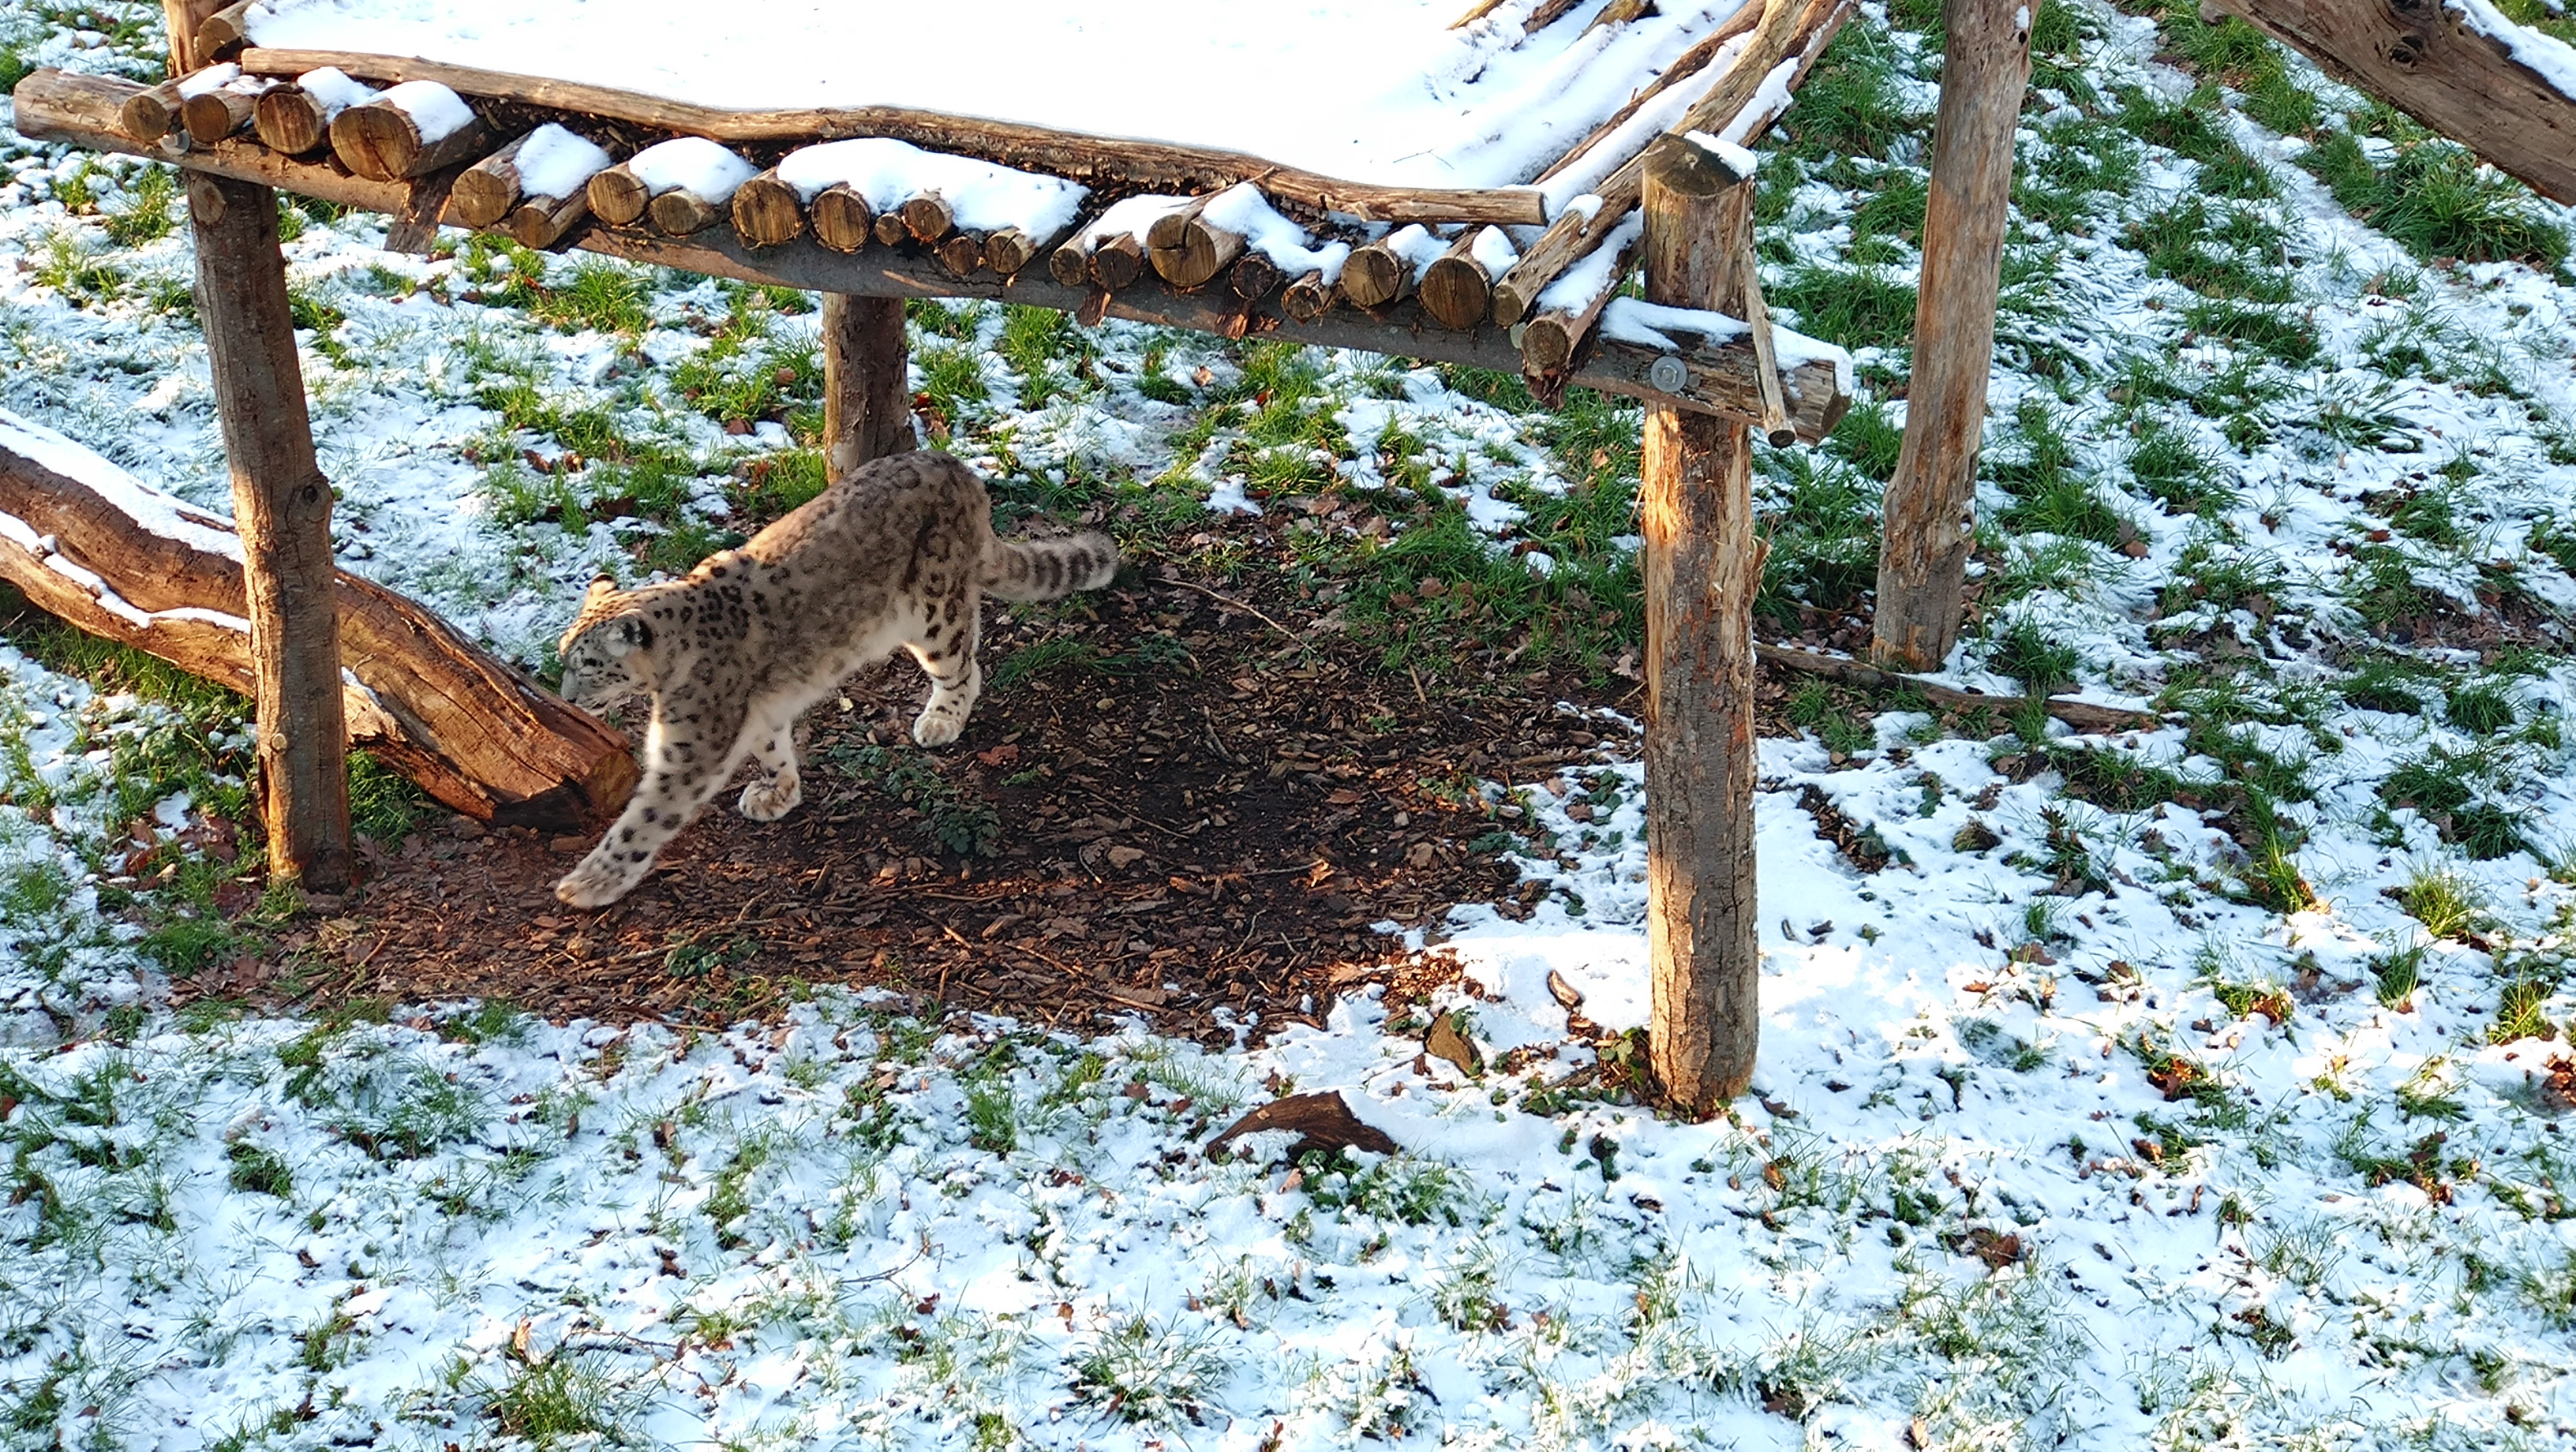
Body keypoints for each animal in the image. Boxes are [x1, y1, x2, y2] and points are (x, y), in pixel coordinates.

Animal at [550, 450, 1116, 908]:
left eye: (588, 665)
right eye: (562, 655)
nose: (567, 696)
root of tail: (957, 467)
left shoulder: (690, 752)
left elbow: (642, 821)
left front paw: (590, 883)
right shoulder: (761, 713)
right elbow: (773, 746)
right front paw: (777, 793)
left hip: (934, 612)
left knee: (964, 665)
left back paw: (941, 720)